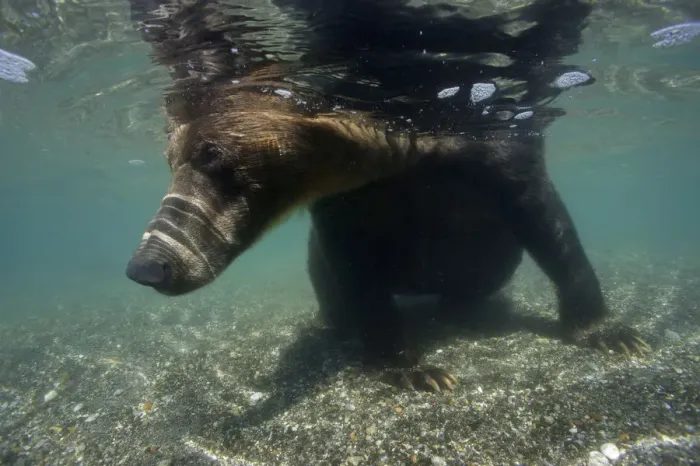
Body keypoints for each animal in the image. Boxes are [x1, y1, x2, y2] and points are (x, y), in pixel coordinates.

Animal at [124, 0, 650, 391]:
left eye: (219, 160)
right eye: (171, 160)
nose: (147, 267)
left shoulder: (498, 144)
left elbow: (547, 223)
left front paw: (612, 334)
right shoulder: (346, 202)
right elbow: (355, 269)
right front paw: (414, 368)